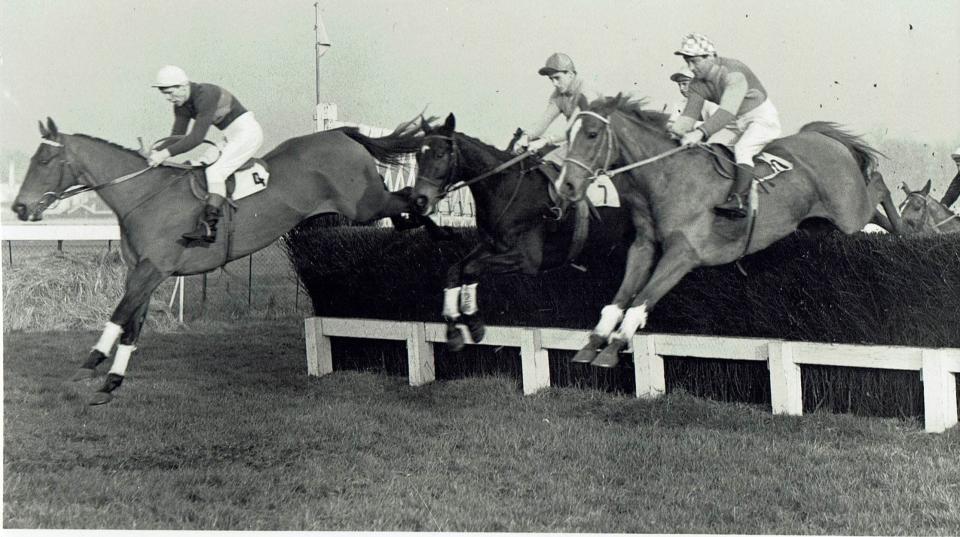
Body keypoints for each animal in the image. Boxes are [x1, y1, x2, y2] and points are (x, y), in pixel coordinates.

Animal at [12, 117, 446, 402]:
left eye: (44, 162)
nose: (19, 207)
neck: (144, 197)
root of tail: (339, 133)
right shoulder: (144, 273)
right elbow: (132, 325)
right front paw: (110, 383)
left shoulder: (153, 268)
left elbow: (118, 316)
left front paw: (89, 364)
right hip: (364, 206)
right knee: (402, 203)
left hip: (364, 204)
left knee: (407, 196)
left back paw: (431, 220)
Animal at [404, 114, 632, 348]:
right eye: (418, 156)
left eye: (440, 154)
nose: (418, 200)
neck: (506, 189)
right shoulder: (491, 246)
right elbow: (454, 270)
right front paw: (453, 327)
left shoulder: (527, 259)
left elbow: (470, 268)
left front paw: (473, 321)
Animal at [556, 94, 900, 366]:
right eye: (567, 134)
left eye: (591, 134)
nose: (566, 185)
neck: (666, 178)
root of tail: (822, 137)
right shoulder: (643, 247)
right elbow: (621, 296)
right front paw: (594, 341)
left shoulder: (683, 254)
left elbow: (643, 298)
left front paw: (614, 346)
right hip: (823, 223)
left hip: (849, 210)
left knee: (879, 186)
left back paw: (904, 229)